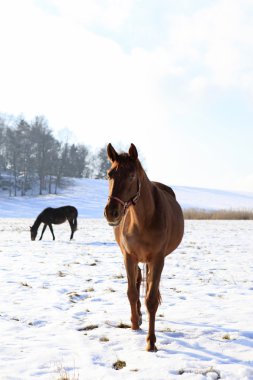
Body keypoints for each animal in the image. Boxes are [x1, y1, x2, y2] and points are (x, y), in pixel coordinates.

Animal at [104, 144, 185, 352]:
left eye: (132, 175)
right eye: (109, 174)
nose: (111, 212)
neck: (142, 221)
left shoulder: (157, 259)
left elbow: (151, 299)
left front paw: (151, 342)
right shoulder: (128, 257)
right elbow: (132, 292)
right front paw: (134, 323)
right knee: (139, 279)